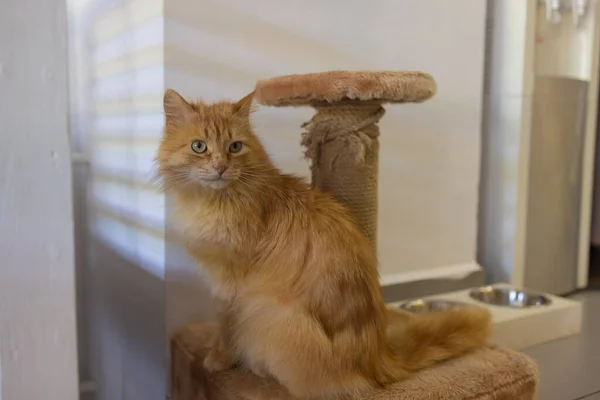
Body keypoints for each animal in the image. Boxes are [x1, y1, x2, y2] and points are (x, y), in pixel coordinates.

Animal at [157, 89, 490, 398]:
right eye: (199, 146)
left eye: (234, 147)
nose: (220, 168)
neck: (217, 202)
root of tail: (378, 359)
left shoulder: (231, 285)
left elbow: (227, 329)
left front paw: (218, 359)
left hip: (268, 314)